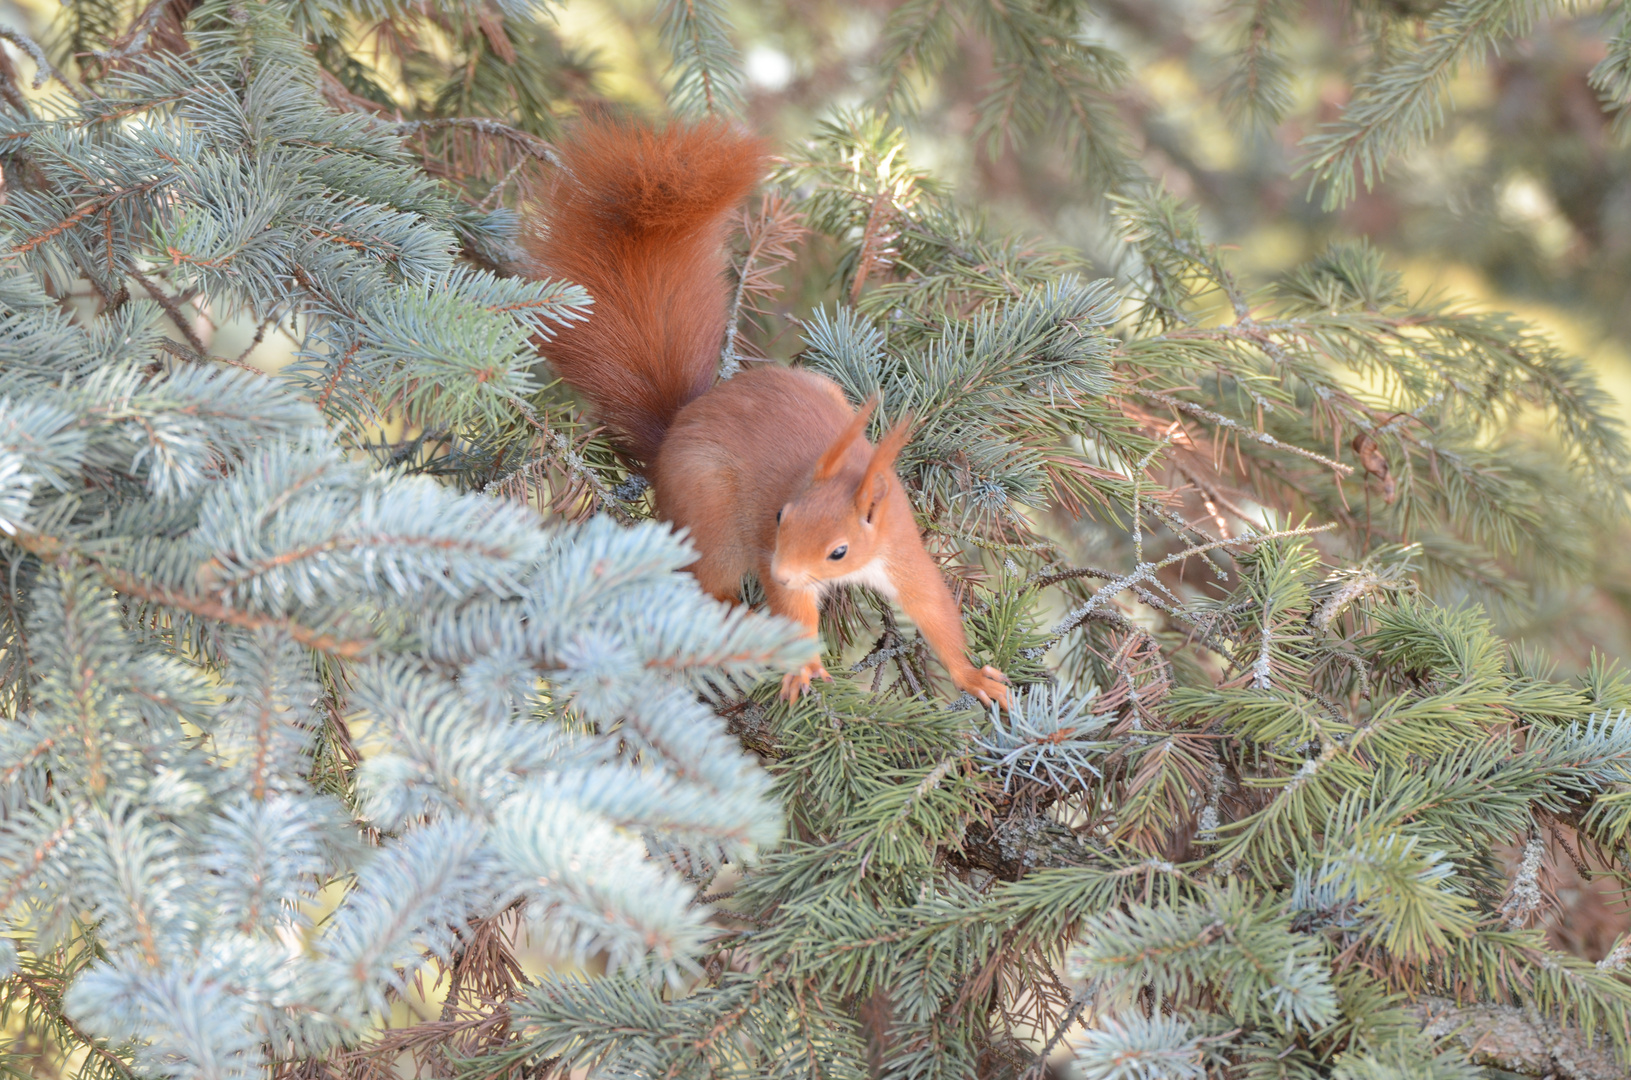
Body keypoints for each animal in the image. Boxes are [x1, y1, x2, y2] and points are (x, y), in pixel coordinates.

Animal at [525, 118, 1004, 711]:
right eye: (780, 516)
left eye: (839, 550)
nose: (780, 567)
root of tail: (674, 431)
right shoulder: (771, 549)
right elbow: (793, 610)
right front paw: (804, 667)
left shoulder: (901, 549)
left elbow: (935, 609)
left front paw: (974, 678)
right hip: (710, 511)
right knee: (706, 580)